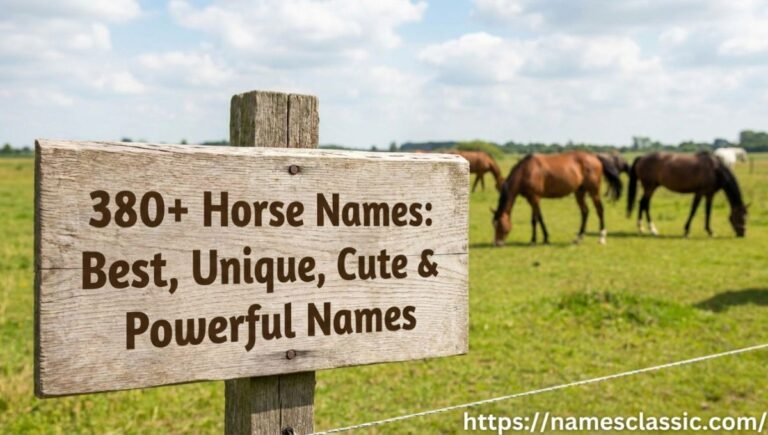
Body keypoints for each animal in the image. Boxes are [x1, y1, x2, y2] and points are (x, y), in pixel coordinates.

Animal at [492, 151, 622, 246]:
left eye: (500, 225)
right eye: (494, 224)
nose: (498, 243)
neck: (526, 170)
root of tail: (595, 157)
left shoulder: (534, 198)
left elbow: (535, 220)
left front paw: (534, 240)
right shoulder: (532, 199)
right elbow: (540, 218)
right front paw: (545, 238)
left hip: (593, 192)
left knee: (599, 210)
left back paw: (602, 238)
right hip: (579, 192)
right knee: (585, 212)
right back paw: (578, 238)